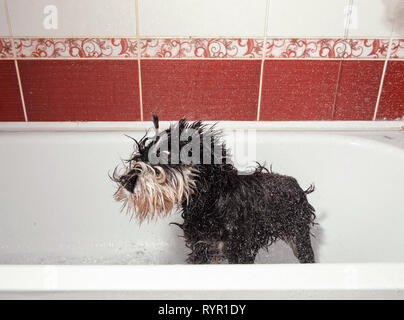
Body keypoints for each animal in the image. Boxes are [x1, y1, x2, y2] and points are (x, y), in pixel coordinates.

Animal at [112, 116, 318, 264]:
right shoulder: (201, 249)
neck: (209, 204)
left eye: (163, 157)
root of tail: (298, 187)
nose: (126, 182)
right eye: (141, 155)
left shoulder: (239, 251)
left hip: (298, 235)